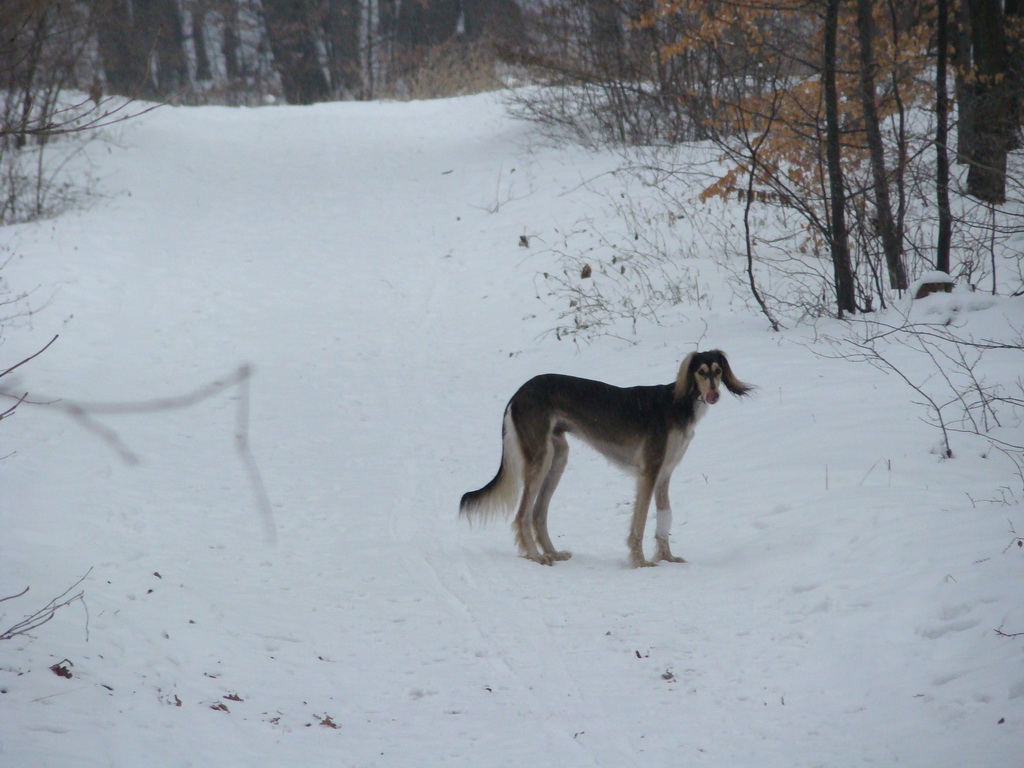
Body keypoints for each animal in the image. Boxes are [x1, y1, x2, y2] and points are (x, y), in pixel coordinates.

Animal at [458, 352, 753, 569]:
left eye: (718, 371)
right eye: (700, 372)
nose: (714, 395)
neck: (679, 403)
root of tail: (518, 393)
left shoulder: (664, 474)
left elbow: (664, 519)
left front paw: (667, 558)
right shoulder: (649, 472)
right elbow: (640, 523)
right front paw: (640, 562)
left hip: (558, 457)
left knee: (538, 513)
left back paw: (553, 553)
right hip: (540, 458)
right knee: (522, 515)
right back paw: (536, 556)